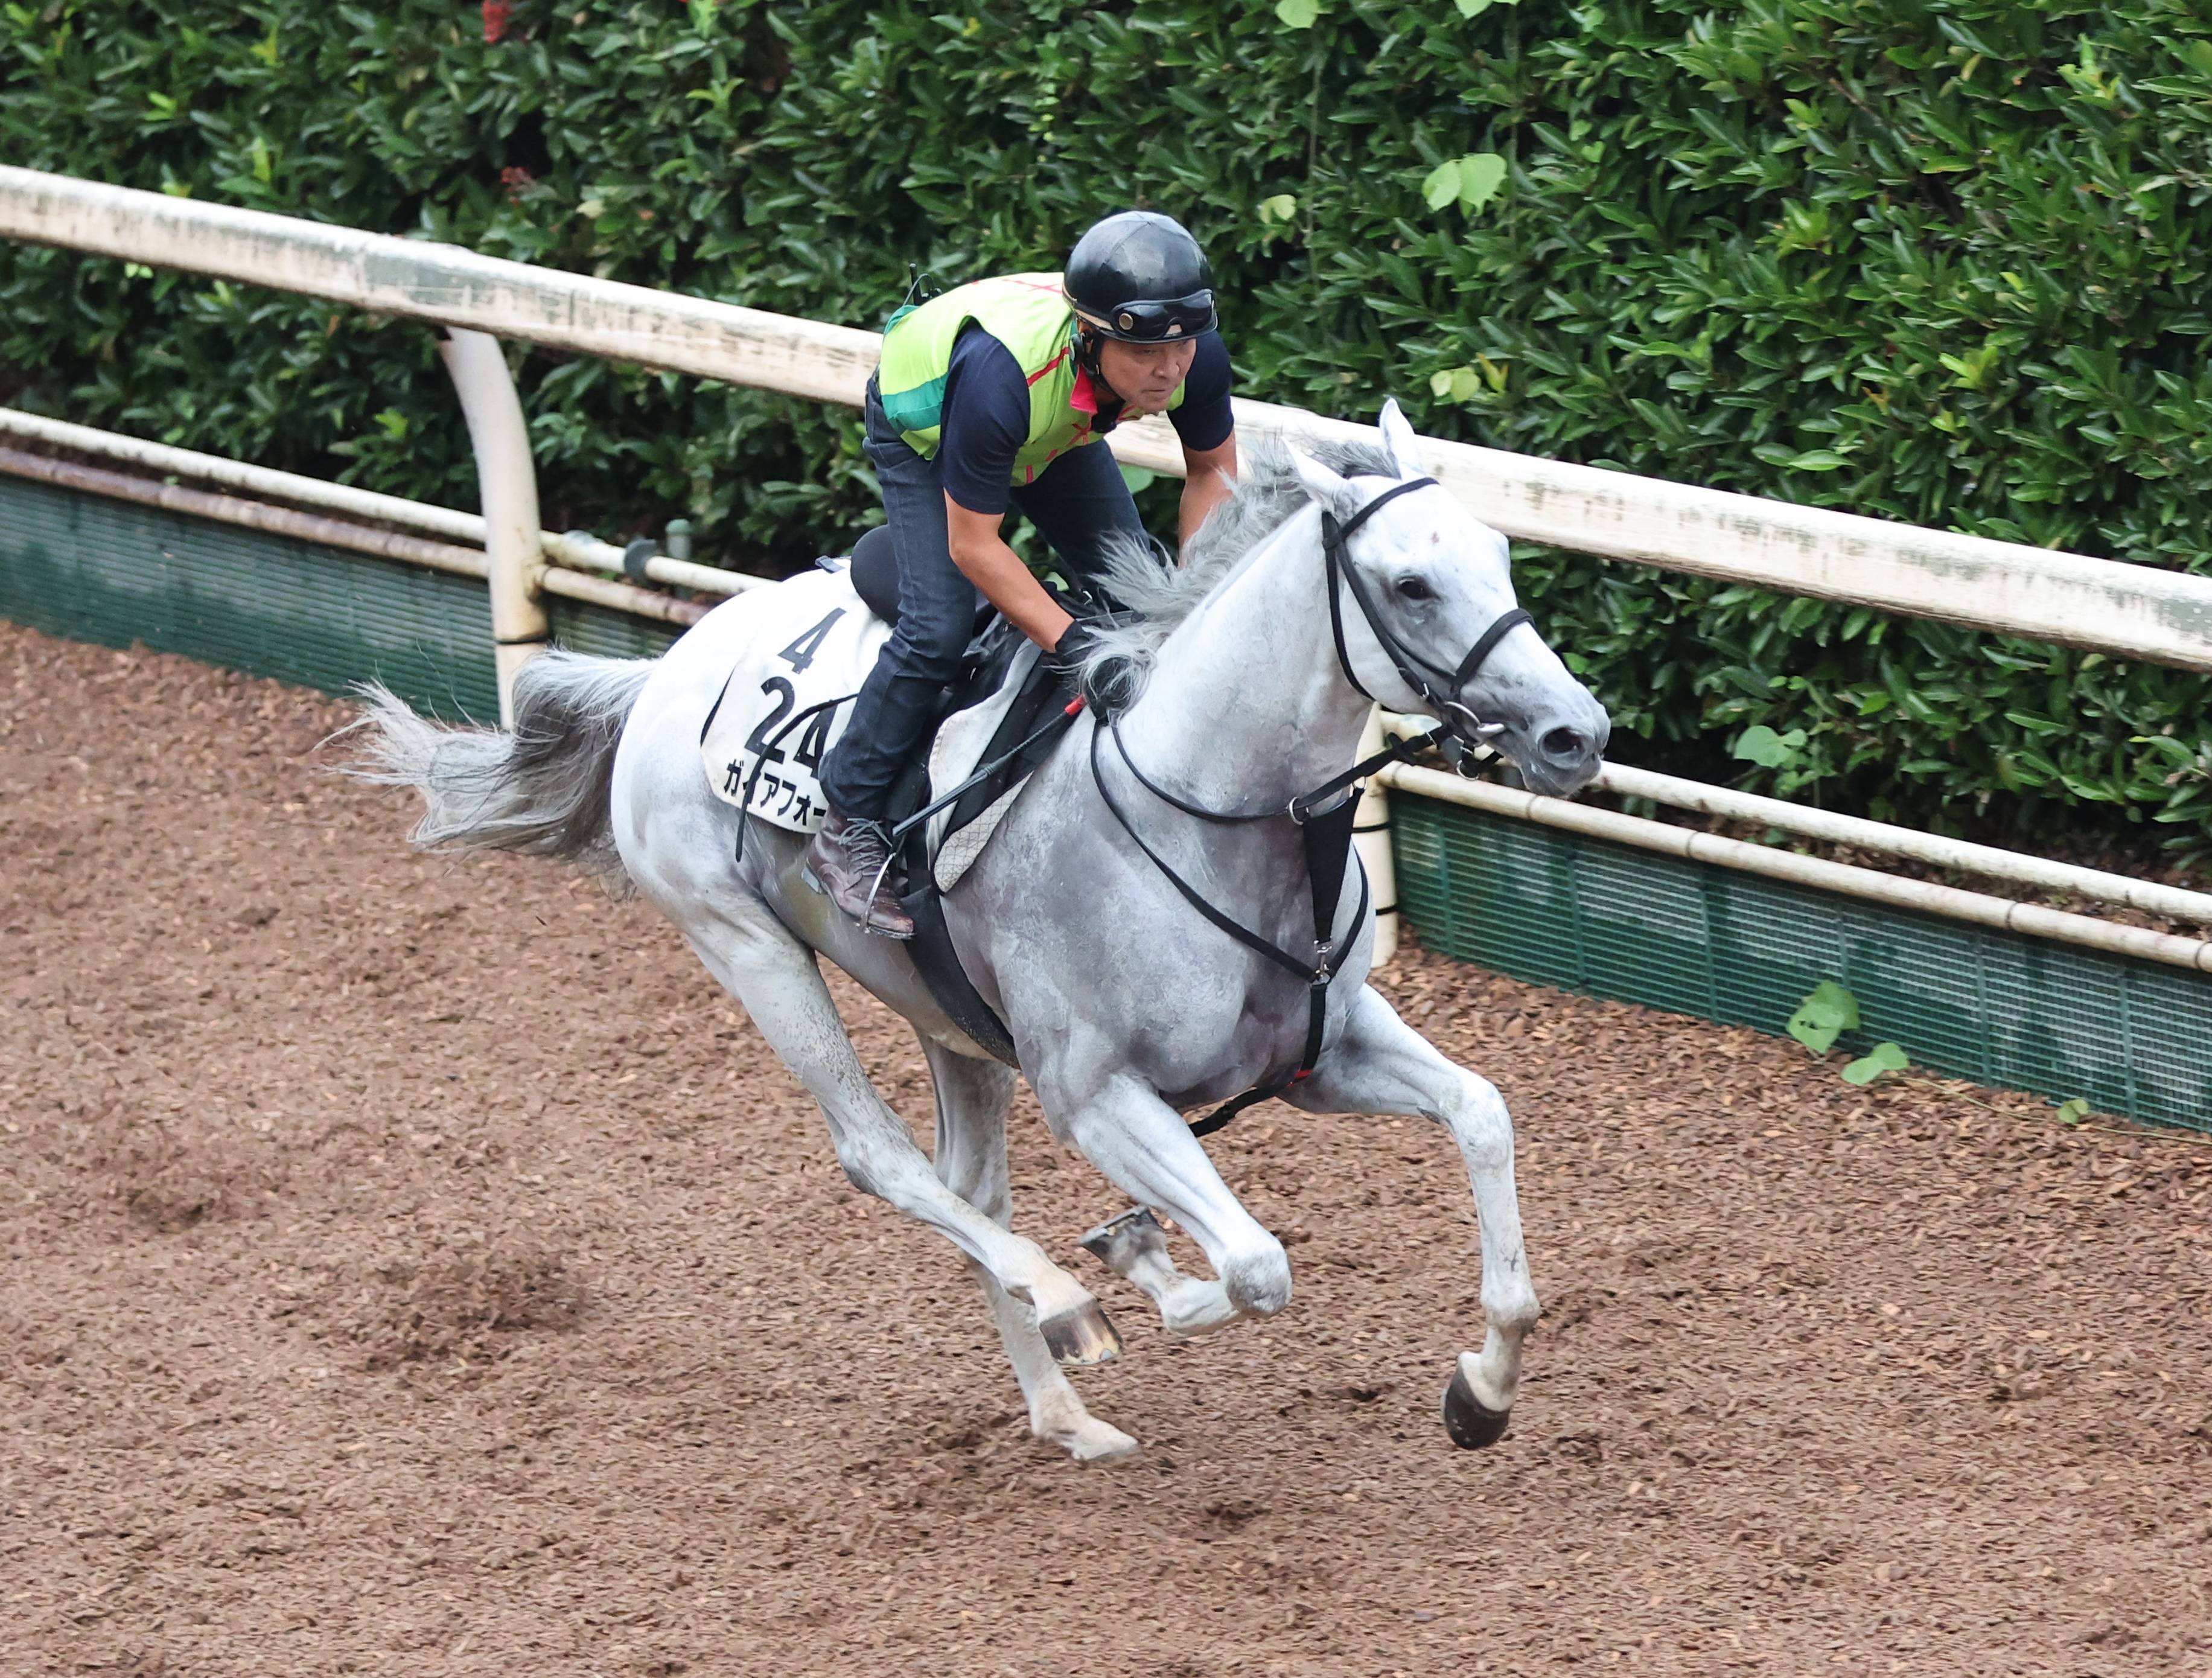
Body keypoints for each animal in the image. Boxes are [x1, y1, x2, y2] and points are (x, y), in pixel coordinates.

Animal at [358, 400, 1610, 1468]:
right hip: (748, 947)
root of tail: (665, 669)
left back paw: (1066, 1416)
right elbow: (1255, 1267)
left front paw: (1481, 1392)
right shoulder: (1096, 1095)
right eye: (1411, 583)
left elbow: (1484, 1117)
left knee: (972, 1186)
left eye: (1500, 554)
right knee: (885, 1160)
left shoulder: (1323, 1049)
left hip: (950, 1023)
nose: (1576, 732)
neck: (1204, 810)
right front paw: (1138, 1262)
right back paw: (1062, 1307)